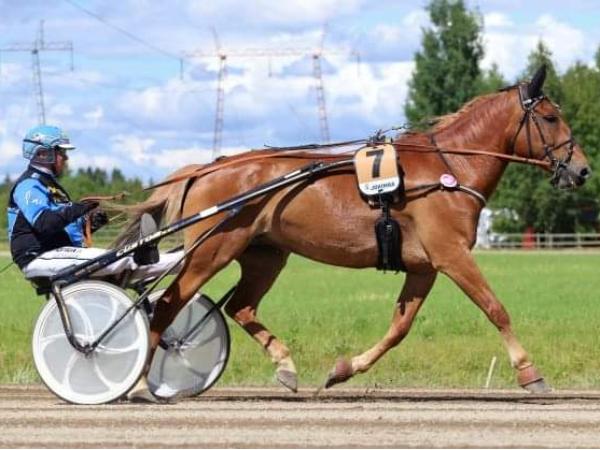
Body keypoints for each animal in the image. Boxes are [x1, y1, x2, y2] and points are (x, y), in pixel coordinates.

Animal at [115, 66, 590, 397]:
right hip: (212, 250)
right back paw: (136, 382)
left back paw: (285, 367)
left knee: (241, 307)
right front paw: (530, 373)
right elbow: (496, 309)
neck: (449, 168)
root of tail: (205, 168)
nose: (582, 170)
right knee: (168, 305)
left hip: (265, 254)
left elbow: (399, 328)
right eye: (550, 117)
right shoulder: (451, 254)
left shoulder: (424, 267)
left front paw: (343, 370)